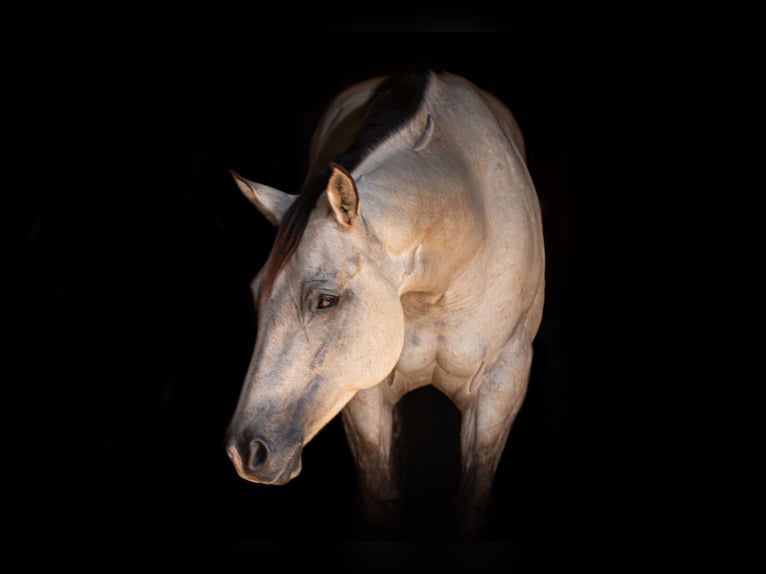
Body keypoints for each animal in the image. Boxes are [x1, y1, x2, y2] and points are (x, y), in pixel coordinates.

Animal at [222, 67, 544, 540]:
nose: (245, 451)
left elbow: (471, 500)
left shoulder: (502, 386)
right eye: (255, 293)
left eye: (326, 300)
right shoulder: (364, 396)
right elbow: (381, 494)